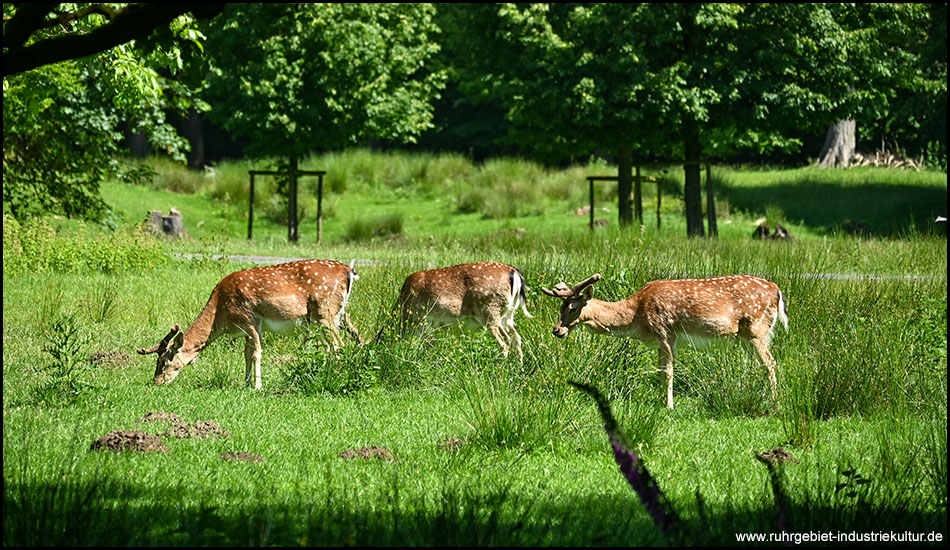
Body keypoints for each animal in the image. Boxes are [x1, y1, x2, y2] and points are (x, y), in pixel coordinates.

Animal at [139, 260, 364, 390]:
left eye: (164, 361)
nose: (156, 382)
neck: (222, 315)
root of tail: (348, 271)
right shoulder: (244, 328)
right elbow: (246, 354)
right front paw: (246, 383)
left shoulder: (251, 320)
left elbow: (256, 353)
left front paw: (257, 386)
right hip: (327, 317)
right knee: (332, 346)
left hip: (325, 312)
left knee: (338, 346)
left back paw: (336, 376)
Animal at [390, 262, 532, 362]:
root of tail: (514, 273)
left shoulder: (423, 322)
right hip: (507, 315)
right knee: (516, 337)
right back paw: (518, 368)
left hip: (490, 312)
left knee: (503, 343)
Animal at [544, 274, 788, 410]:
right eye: (560, 308)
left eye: (573, 308)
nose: (557, 330)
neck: (636, 317)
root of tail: (777, 291)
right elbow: (661, 371)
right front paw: (662, 402)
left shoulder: (666, 332)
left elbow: (668, 371)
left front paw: (669, 406)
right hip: (747, 336)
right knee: (762, 365)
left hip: (757, 328)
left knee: (770, 363)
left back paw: (775, 402)